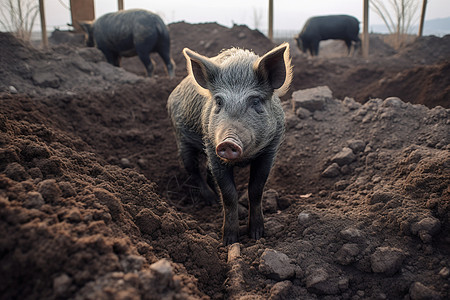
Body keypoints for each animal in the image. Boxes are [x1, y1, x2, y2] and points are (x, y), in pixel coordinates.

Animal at [168, 42, 292, 244]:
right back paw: (210, 199)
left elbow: (256, 189)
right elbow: (228, 194)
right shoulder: (212, 147)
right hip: (181, 138)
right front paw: (229, 241)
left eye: (255, 101)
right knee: (193, 170)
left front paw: (257, 235)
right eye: (219, 101)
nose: (228, 142)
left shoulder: (270, 150)